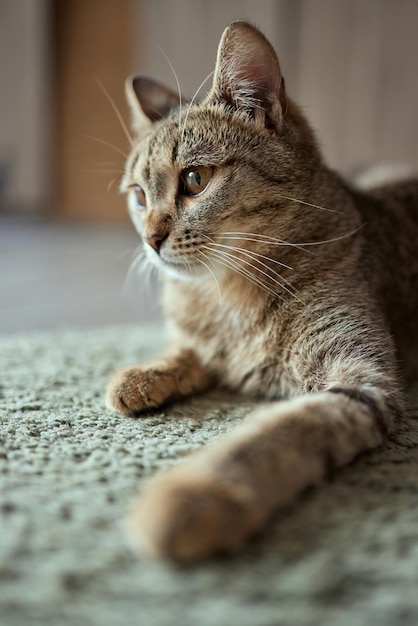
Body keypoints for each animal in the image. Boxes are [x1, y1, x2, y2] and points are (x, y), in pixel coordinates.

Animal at [106, 20, 418, 560]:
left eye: (195, 179)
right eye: (140, 197)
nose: (149, 239)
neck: (227, 293)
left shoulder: (363, 381)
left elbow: (277, 432)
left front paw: (196, 492)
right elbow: (188, 351)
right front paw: (143, 375)